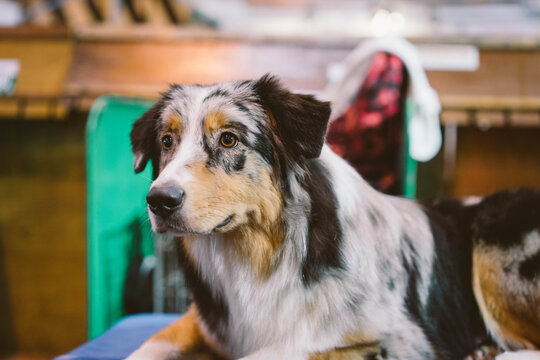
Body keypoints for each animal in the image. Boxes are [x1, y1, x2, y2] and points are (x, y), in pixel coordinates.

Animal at [127, 74, 540, 358]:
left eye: (229, 139)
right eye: (167, 141)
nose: (159, 201)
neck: (258, 253)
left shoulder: (401, 338)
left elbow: (275, 351)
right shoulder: (208, 322)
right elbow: (149, 344)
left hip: (495, 233)